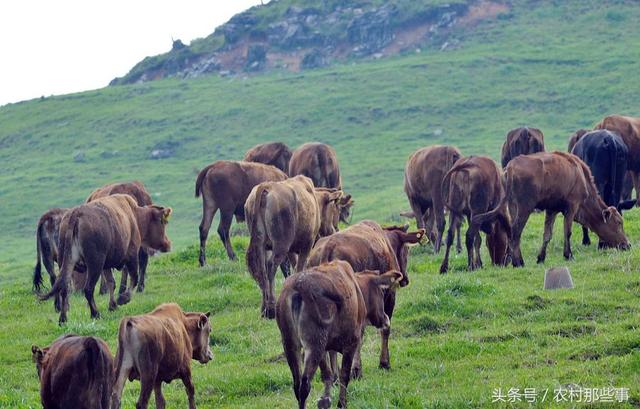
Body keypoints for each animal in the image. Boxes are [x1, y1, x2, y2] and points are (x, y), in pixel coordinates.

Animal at [38, 194, 171, 326]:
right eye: (163, 222)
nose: (168, 244)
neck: (134, 215)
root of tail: (75, 214)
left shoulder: (106, 265)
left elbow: (111, 283)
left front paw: (112, 305)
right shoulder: (132, 255)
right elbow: (134, 278)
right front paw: (123, 299)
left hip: (66, 262)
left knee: (64, 288)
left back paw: (63, 318)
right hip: (95, 264)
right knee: (88, 289)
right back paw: (95, 313)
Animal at [245, 175, 344, 318]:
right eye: (336, 208)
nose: (335, 229)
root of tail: (266, 186)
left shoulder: (291, 250)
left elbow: (294, 267)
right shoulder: (307, 244)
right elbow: (300, 267)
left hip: (261, 245)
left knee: (262, 271)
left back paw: (264, 309)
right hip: (281, 244)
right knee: (271, 267)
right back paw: (271, 308)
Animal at [276, 262, 400, 408]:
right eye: (381, 292)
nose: (385, 318)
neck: (356, 288)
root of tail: (297, 288)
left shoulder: (326, 348)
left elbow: (328, 374)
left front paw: (325, 399)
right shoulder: (351, 343)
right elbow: (344, 375)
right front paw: (341, 403)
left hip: (290, 345)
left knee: (297, 383)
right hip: (314, 345)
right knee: (305, 384)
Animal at [306, 220, 424, 372]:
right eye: (407, 249)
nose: (405, 279)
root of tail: (328, 246)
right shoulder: (389, 295)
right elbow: (385, 329)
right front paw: (384, 362)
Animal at [472, 151, 628, 266]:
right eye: (618, 223)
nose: (627, 244)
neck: (581, 176)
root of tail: (510, 167)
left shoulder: (551, 210)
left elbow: (547, 235)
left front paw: (541, 257)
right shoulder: (572, 207)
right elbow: (567, 232)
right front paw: (568, 255)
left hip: (512, 207)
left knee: (512, 232)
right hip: (524, 208)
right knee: (516, 232)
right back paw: (518, 262)